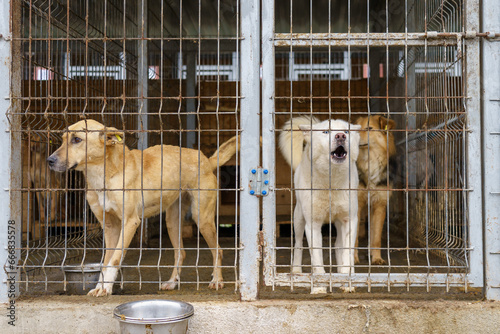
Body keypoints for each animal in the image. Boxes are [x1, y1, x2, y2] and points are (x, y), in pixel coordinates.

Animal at [47, 118, 238, 296]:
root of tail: (207, 160)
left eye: (77, 139)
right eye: (63, 140)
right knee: (181, 253)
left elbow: (115, 259)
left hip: (202, 217)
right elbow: (106, 261)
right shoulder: (110, 226)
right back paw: (172, 282)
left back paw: (217, 280)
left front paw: (106, 288)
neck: (103, 175)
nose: (49, 160)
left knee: (218, 250)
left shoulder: (130, 222)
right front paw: (101, 286)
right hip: (172, 221)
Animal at [280, 117, 362, 292]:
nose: (340, 136)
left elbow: (347, 253)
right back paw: (296, 270)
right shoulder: (313, 224)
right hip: (298, 218)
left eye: (346, 131)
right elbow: (316, 259)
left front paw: (347, 281)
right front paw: (318, 288)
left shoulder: (350, 220)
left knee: (338, 246)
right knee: (298, 244)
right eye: (326, 132)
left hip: (339, 223)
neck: (331, 181)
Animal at [354, 116, 396, 264]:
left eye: (369, 128)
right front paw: (353, 258)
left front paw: (376, 257)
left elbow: (376, 237)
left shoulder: (379, 204)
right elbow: (354, 238)